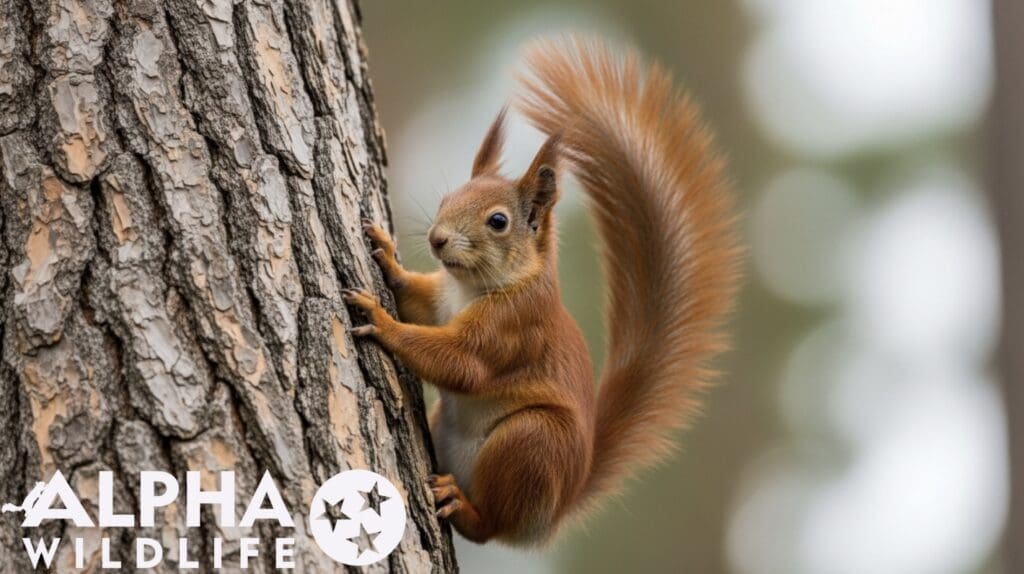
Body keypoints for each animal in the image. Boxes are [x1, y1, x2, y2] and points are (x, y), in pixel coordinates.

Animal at [342, 36, 740, 546]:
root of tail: (552, 513)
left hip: (532, 442)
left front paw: (380, 319)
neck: (474, 287)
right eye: (446, 200)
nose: (436, 239)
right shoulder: (441, 301)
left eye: (498, 221)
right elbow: (419, 302)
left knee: (488, 527)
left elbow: (460, 363)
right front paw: (387, 259)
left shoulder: (513, 326)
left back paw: (461, 504)